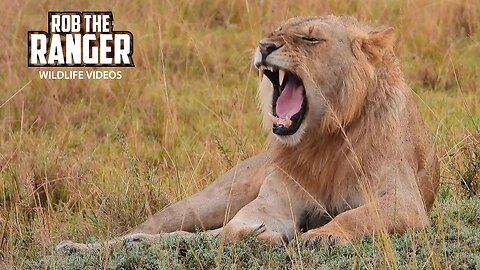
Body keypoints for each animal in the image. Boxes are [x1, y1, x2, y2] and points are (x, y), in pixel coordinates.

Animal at [55, 14, 438, 251]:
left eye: (310, 38)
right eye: (277, 30)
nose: (265, 45)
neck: (322, 139)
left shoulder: (405, 201)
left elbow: (357, 216)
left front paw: (322, 236)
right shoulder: (276, 199)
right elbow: (245, 225)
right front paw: (255, 236)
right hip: (209, 201)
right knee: (157, 229)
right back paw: (79, 247)